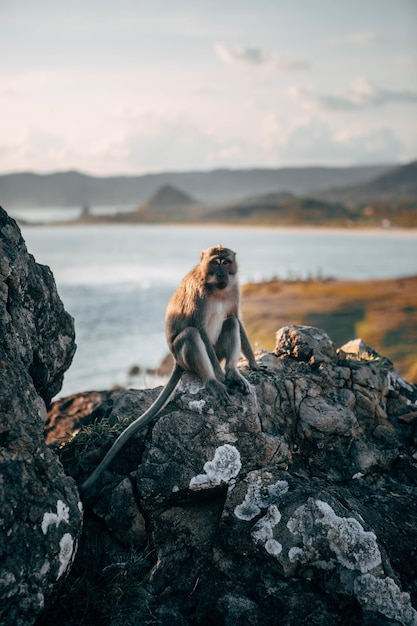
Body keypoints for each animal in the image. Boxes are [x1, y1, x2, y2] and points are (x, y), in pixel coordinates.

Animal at [80, 245, 256, 492]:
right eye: (216, 262)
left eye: (226, 262)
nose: (222, 274)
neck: (217, 289)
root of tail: (176, 362)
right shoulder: (199, 295)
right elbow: (200, 329)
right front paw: (219, 376)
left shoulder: (234, 289)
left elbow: (235, 318)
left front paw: (253, 364)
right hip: (183, 356)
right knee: (190, 334)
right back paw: (213, 380)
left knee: (229, 323)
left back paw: (232, 372)